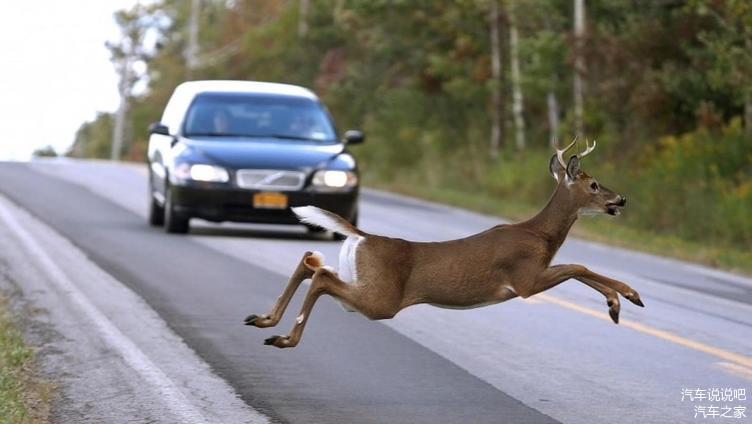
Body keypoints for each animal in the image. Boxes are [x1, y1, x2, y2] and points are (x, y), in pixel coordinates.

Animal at [244, 139, 644, 348]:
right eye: (594, 185)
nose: (621, 199)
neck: (541, 235)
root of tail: (364, 236)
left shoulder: (532, 276)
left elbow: (579, 267)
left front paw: (619, 301)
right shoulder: (525, 279)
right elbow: (578, 265)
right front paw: (625, 297)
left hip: (363, 282)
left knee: (311, 261)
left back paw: (264, 320)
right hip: (382, 299)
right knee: (321, 276)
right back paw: (284, 338)